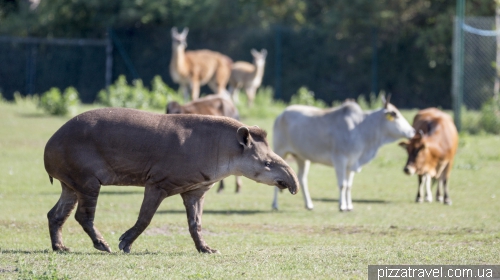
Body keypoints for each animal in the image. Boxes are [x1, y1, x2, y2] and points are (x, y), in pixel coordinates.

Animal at [272, 97, 416, 211]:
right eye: (395, 115)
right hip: (280, 152)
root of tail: (281, 114)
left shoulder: (352, 163)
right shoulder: (340, 160)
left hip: (302, 158)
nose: (413, 131)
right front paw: (342, 206)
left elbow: (348, 186)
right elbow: (342, 185)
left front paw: (349, 206)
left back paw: (309, 205)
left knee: (301, 178)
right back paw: (275, 205)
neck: (361, 128)